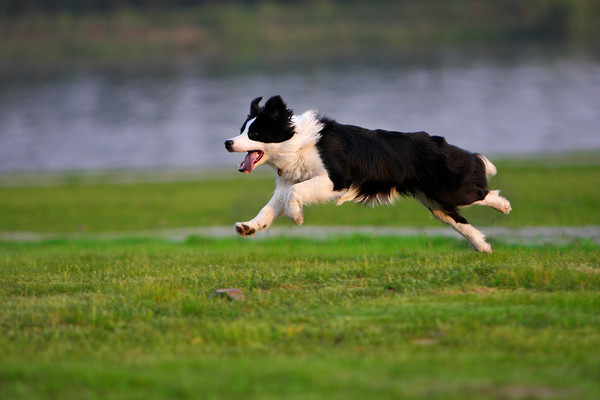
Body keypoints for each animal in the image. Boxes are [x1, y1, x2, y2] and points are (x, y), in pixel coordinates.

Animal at [225, 95, 510, 252]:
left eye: (255, 133)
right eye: (241, 130)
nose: (227, 142)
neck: (296, 143)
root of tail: (438, 143)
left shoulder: (335, 179)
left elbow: (294, 194)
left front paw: (296, 218)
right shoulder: (288, 181)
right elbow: (271, 206)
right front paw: (249, 227)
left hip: (447, 188)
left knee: (481, 189)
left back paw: (504, 206)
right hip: (435, 201)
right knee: (458, 220)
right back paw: (483, 247)